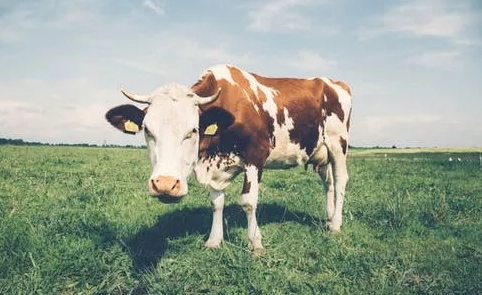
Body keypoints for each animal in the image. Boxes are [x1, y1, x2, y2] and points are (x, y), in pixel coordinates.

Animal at [107, 65, 352, 254]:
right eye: (147, 130)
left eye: (193, 130)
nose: (165, 185)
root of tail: (333, 82)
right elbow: (216, 203)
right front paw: (214, 240)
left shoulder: (255, 157)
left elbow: (248, 201)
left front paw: (255, 244)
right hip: (321, 152)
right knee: (328, 183)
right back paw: (329, 218)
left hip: (338, 143)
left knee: (340, 180)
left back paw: (336, 225)